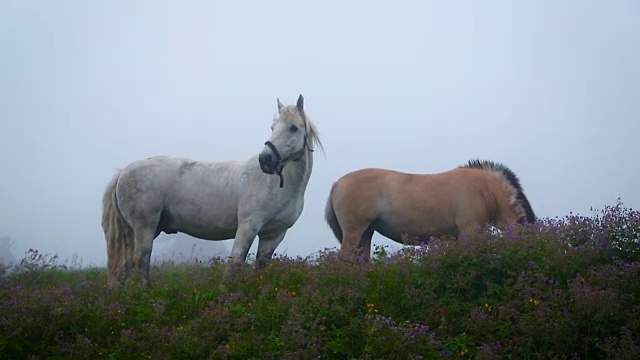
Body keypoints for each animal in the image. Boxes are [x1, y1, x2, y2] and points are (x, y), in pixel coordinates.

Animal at [102, 95, 322, 286]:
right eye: (273, 127)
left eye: (293, 128)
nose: (266, 160)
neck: (276, 185)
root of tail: (123, 172)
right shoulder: (248, 227)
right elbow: (235, 266)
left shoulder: (273, 235)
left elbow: (260, 268)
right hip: (144, 228)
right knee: (141, 263)